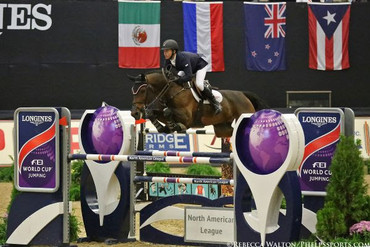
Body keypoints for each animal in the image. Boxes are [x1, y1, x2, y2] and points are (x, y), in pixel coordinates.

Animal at [129, 70, 266, 138]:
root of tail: (243, 95)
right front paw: (163, 127)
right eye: (132, 90)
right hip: (223, 128)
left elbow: (167, 112)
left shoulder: (186, 118)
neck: (171, 91)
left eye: (142, 90)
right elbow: (153, 113)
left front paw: (176, 126)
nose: (134, 113)